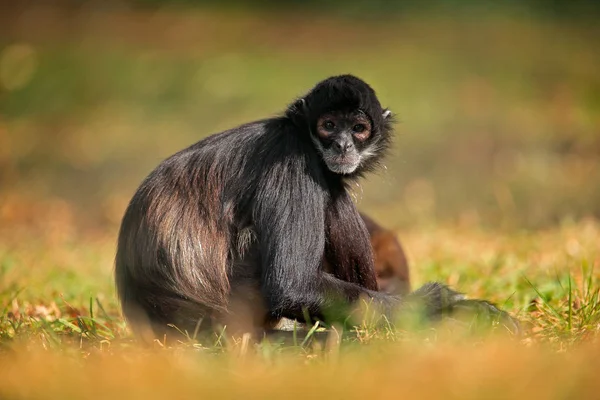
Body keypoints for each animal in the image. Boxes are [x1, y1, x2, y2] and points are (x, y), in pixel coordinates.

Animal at [115, 75, 516, 340]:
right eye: (328, 126)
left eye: (358, 128)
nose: (341, 145)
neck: (296, 132)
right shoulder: (293, 159)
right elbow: (292, 286)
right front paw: (439, 306)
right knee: (333, 198)